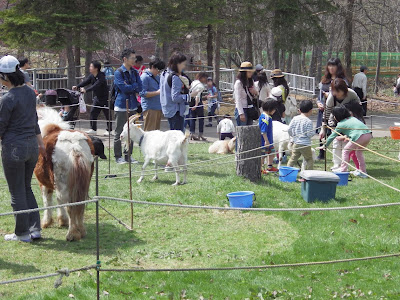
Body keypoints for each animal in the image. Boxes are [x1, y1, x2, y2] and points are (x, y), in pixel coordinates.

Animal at [34, 108, 94, 241]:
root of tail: (75, 145)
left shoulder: (44, 184)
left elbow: (47, 201)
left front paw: (47, 222)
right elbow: (58, 201)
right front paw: (62, 220)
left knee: (70, 206)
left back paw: (72, 234)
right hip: (82, 185)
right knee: (80, 204)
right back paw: (81, 230)